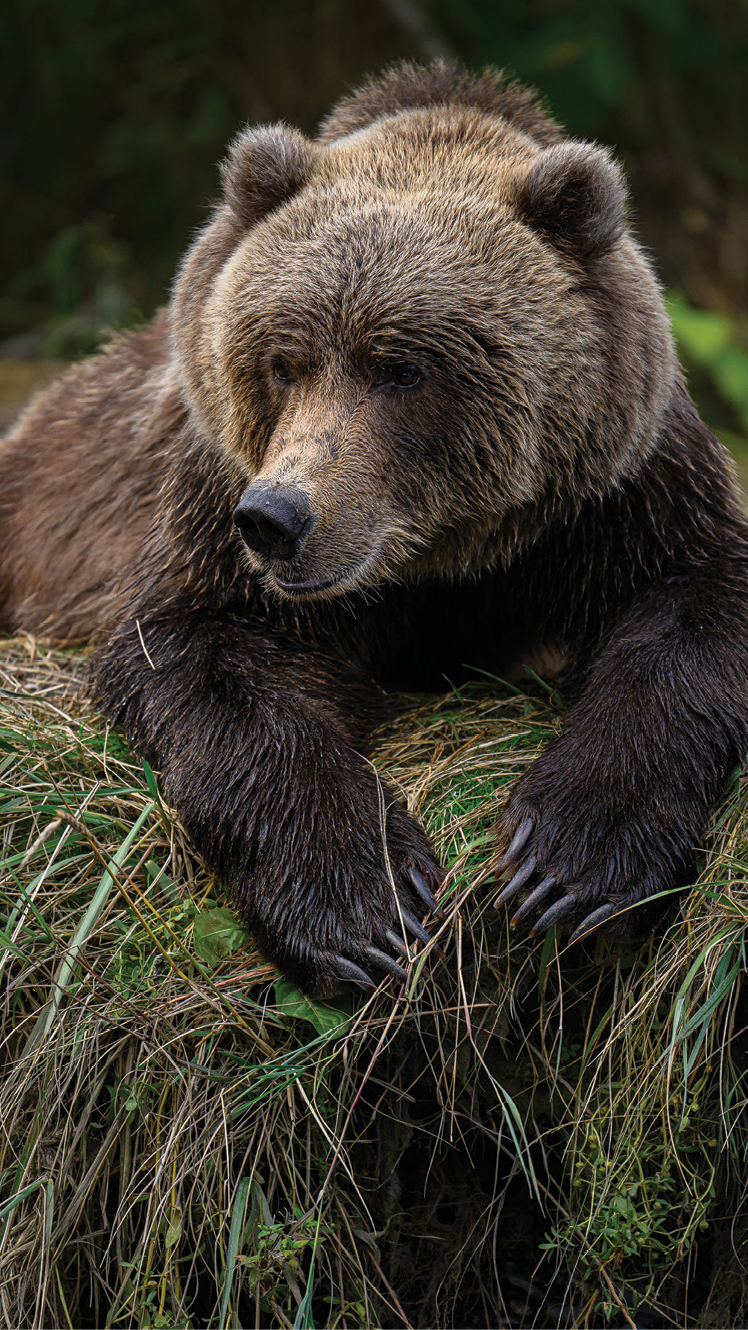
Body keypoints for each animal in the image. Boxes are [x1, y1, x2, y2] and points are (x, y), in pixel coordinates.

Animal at [2, 60, 747, 997]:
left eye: (401, 368)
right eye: (282, 360)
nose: (277, 519)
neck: (439, 561)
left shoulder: (619, 495)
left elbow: (692, 617)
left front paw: (568, 864)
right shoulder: (214, 506)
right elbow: (213, 665)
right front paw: (365, 904)